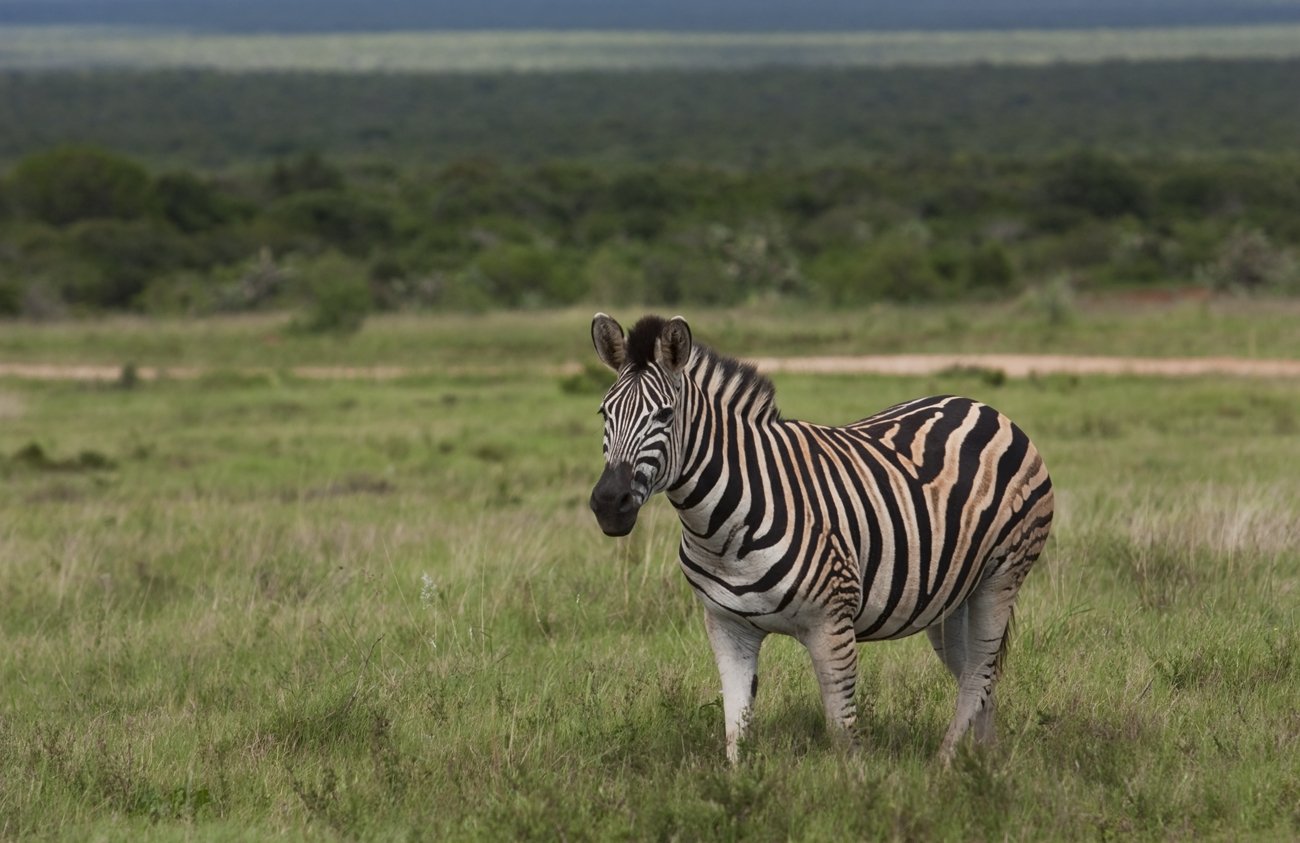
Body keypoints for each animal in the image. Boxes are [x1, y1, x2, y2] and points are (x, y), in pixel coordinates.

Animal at [590, 310, 1055, 764]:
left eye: (665, 416)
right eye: (603, 414)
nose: (609, 504)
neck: (721, 532)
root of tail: (981, 406)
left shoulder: (832, 623)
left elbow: (842, 732)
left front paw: (855, 787)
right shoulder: (726, 626)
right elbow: (735, 732)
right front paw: (737, 786)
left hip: (1002, 577)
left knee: (978, 674)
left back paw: (945, 766)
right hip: (953, 596)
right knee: (977, 675)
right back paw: (983, 764)